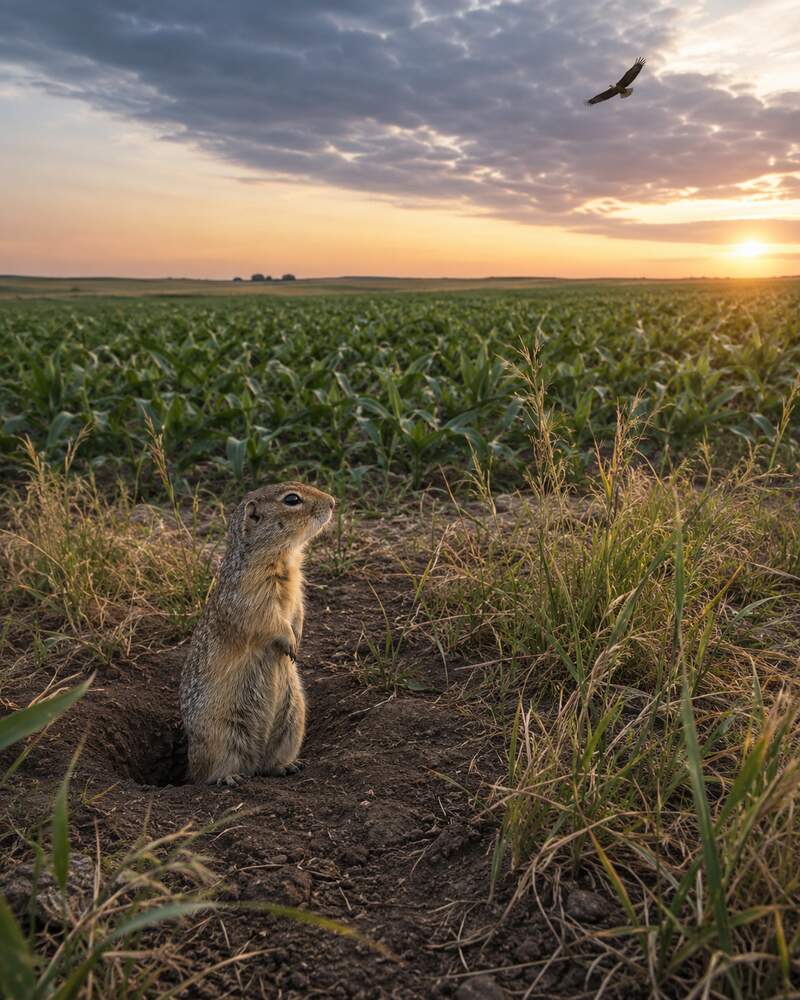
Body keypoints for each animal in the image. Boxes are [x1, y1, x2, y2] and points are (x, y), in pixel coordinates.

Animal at [180, 482, 335, 785]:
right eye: (292, 500)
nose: (333, 501)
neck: (283, 557)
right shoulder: (251, 593)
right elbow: (268, 621)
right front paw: (290, 643)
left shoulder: (297, 587)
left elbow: (297, 611)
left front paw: (297, 639)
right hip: (220, 734)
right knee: (207, 772)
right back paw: (229, 778)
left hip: (293, 720)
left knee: (268, 763)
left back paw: (286, 766)